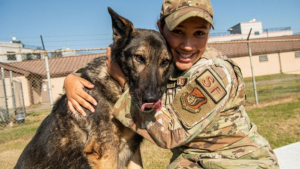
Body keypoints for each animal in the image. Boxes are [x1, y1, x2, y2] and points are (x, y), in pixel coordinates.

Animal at [14, 6, 173, 169]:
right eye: (139, 58)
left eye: (165, 62)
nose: (151, 99)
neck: (116, 85)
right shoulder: (105, 155)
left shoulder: (131, 150)